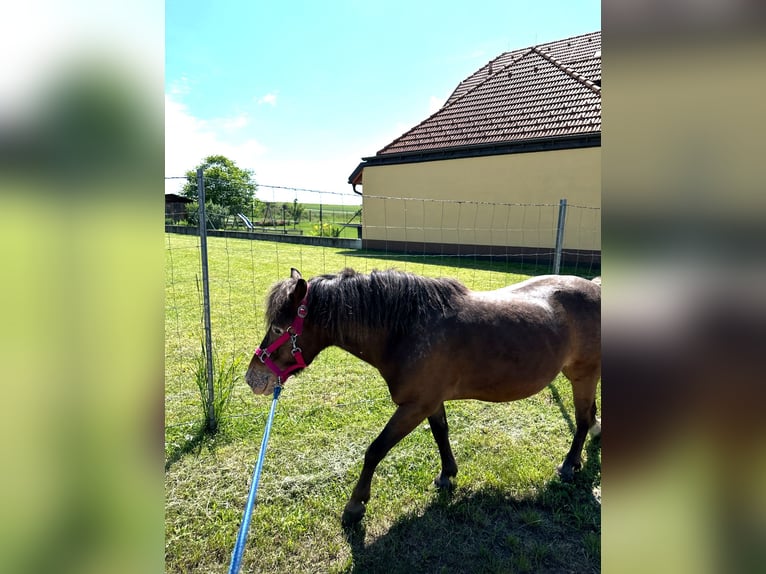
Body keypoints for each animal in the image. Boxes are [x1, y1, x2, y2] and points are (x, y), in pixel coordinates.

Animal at [246, 268, 600, 528]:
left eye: (278, 329)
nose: (253, 378)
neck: (407, 330)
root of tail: (595, 288)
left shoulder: (414, 406)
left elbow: (375, 450)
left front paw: (355, 505)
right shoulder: (430, 402)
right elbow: (441, 433)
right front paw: (447, 474)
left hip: (583, 375)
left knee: (582, 420)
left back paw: (570, 464)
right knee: (590, 417)